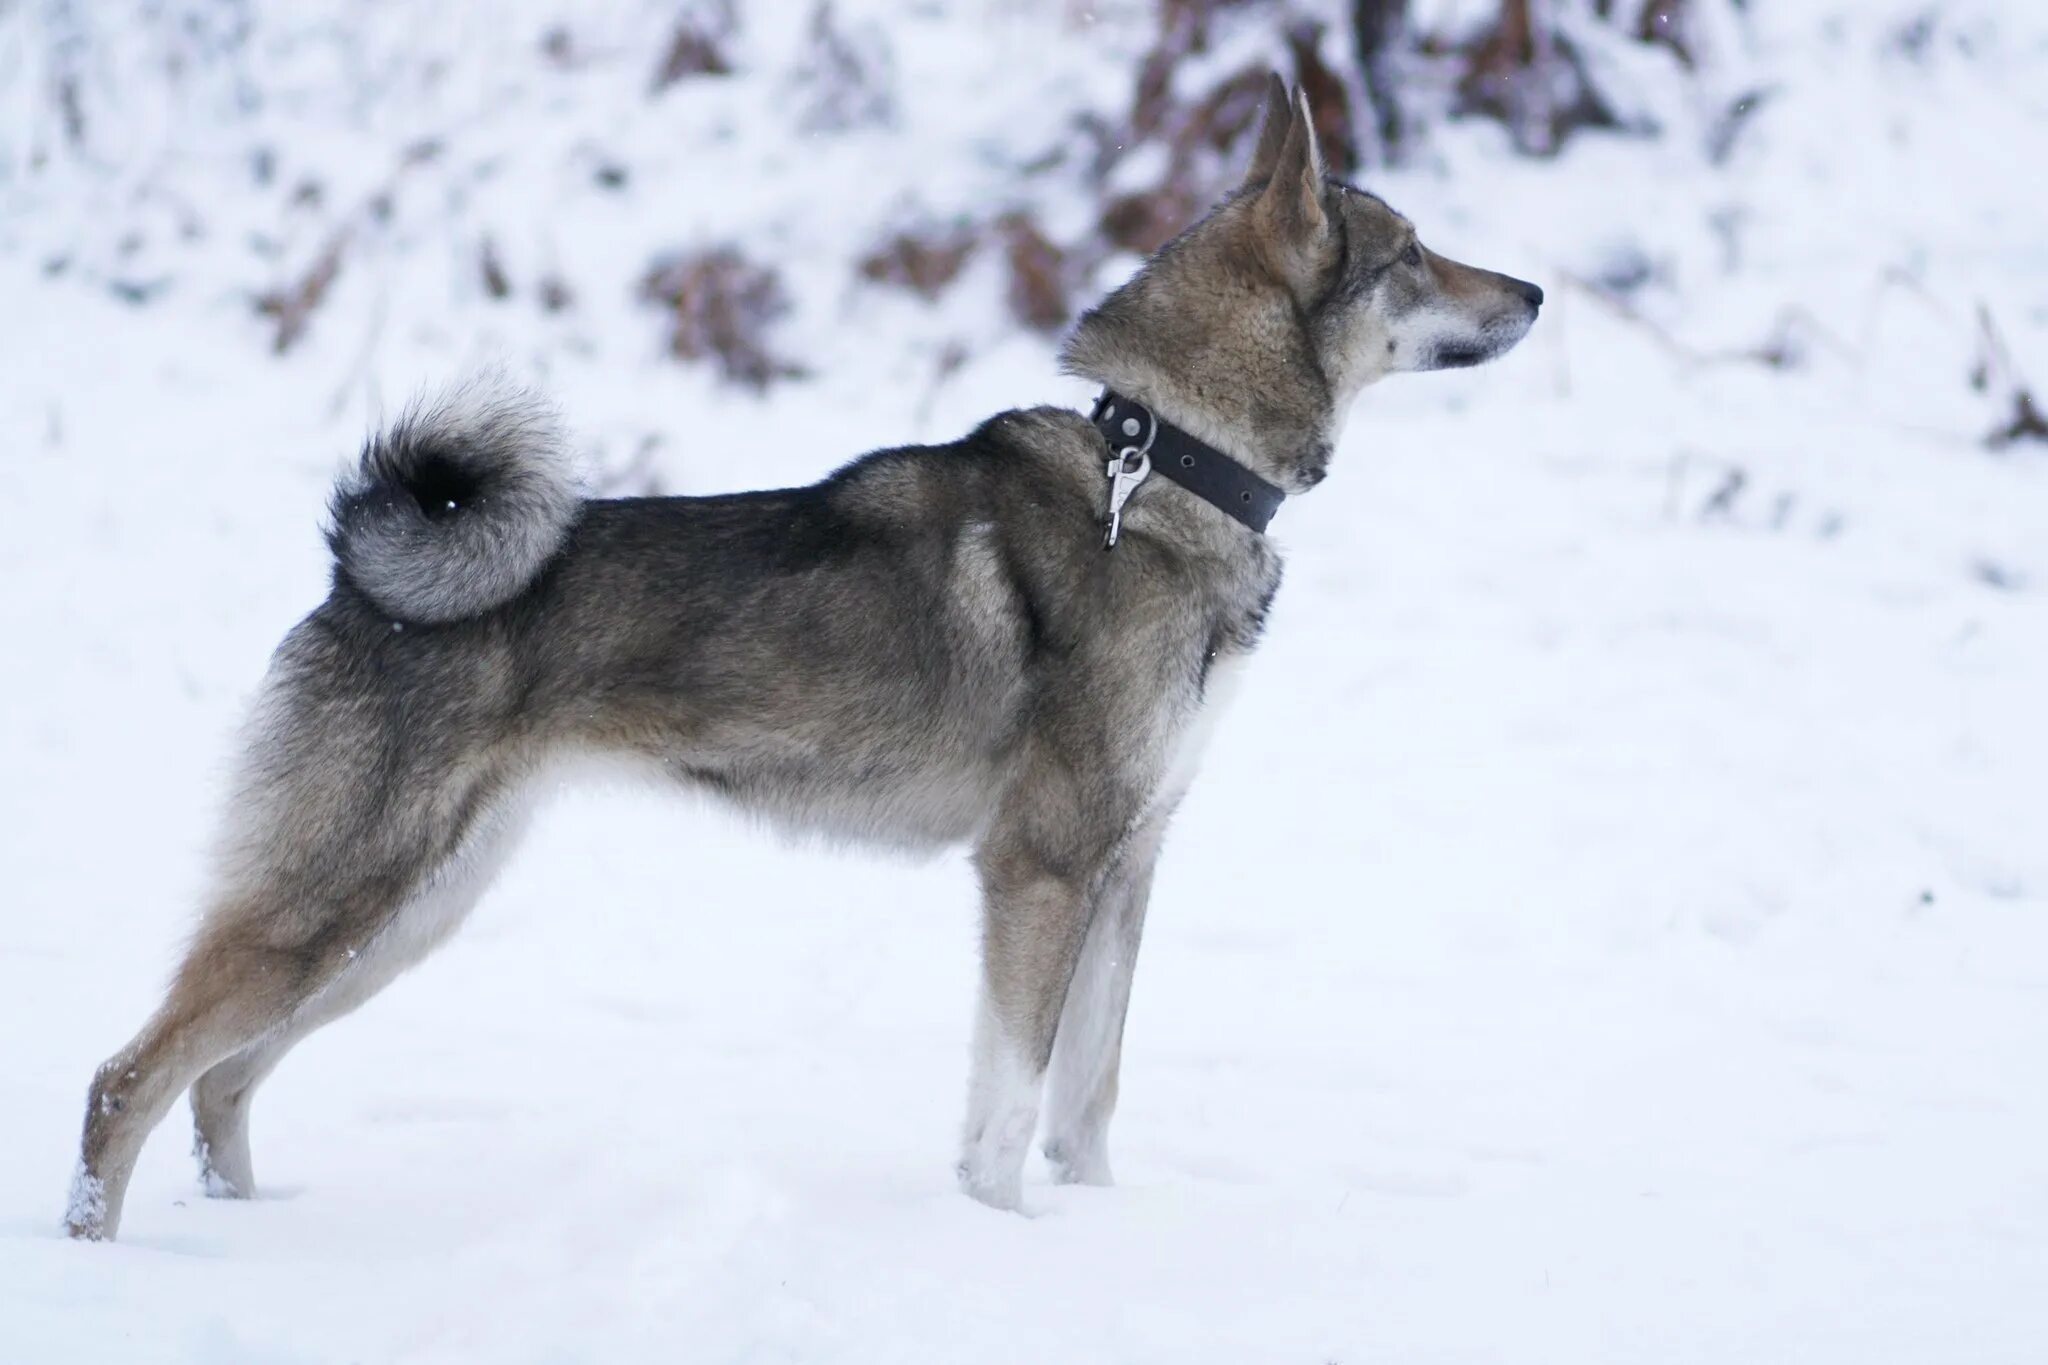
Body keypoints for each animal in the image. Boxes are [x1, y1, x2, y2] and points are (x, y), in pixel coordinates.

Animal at [64, 80, 1540, 1244]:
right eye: (1414, 255)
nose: (1532, 289)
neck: (1167, 464)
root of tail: (353, 574)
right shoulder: (1043, 869)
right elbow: (1011, 1109)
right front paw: (1003, 1245)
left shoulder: (1127, 866)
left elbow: (1088, 1102)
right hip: (338, 903)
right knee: (128, 1081)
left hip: (410, 911)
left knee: (219, 1083)